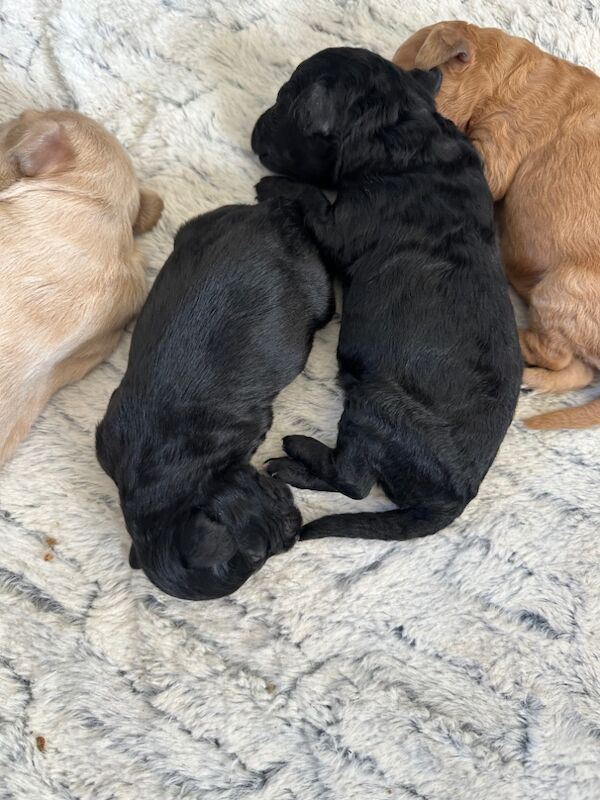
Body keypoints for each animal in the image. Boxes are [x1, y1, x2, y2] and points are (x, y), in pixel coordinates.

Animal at [251, 47, 524, 540]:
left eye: (284, 102)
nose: (254, 131)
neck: (402, 127)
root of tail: (455, 496)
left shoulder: (343, 228)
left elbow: (314, 199)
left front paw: (274, 187)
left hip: (375, 403)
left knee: (354, 482)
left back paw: (295, 455)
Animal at [394, 21, 600, 428]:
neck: (501, 70)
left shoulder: (501, 142)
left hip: (561, 288)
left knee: (556, 354)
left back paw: (515, 343)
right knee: (576, 370)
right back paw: (531, 381)